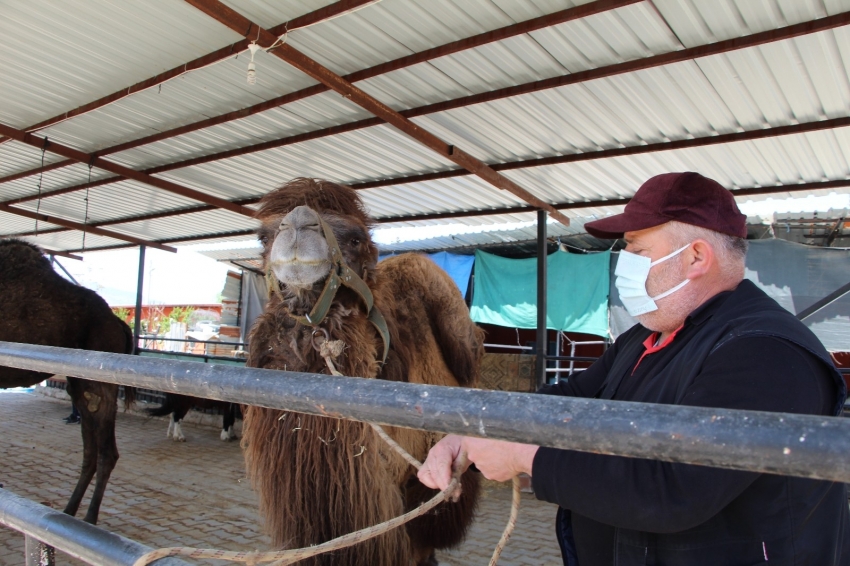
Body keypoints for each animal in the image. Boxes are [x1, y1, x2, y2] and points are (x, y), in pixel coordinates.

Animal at [0, 239, 134, 524]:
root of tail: (118, 323)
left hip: (100, 376)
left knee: (106, 451)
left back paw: (89, 518)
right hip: (78, 382)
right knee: (90, 449)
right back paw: (69, 511)